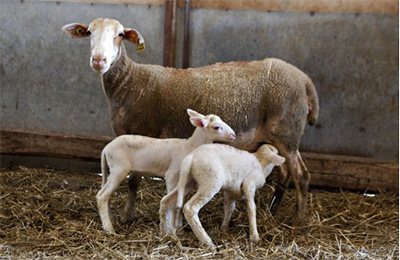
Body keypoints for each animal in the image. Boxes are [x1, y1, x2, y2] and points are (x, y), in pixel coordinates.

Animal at [96, 108, 234, 233]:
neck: (189, 146)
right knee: (102, 196)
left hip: (114, 169)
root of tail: (106, 148)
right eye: (216, 127)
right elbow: (171, 202)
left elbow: (180, 201)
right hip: (119, 168)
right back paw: (109, 229)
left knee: (105, 194)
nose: (233, 135)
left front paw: (179, 228)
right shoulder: (172, 175)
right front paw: (171, 228)